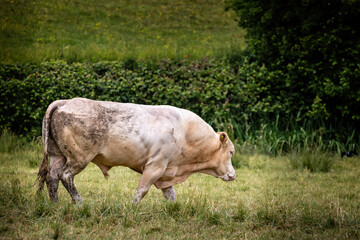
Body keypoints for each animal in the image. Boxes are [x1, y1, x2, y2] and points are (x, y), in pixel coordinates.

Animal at [37, 97, 236, 202]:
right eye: (231, 152)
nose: (233, 175)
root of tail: (63, 102)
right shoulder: (155, 166)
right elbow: (142, 190)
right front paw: (133, 208)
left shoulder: (166, 171)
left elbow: (170, 195)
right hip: (79, 158)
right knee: (65, 176)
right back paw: (79, 203)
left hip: (57, 156)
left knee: (52, 178)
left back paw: (55, 204)